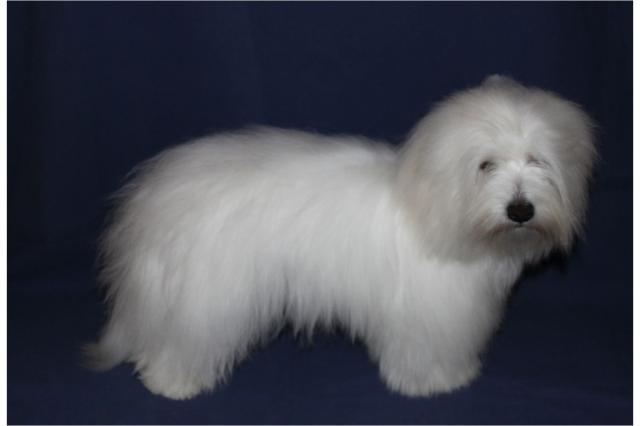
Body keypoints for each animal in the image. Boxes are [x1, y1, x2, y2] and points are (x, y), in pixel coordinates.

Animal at [85, 76, 596, 399]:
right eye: (486, 165)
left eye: (538, 160)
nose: (520, 210)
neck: (430, 208)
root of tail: (150, 202)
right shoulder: (427, 315)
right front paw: (435, 382)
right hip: (205, 296)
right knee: (182, 341)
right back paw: (173, 383)